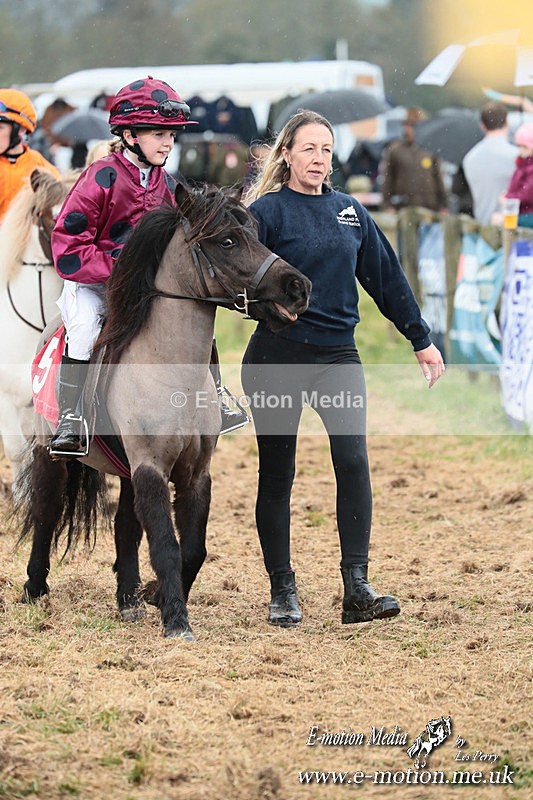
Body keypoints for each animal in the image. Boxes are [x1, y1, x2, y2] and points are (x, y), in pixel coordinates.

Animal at [15, 181, 311, 641]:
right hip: (52, 454)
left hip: (125, 470)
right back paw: (34, 588)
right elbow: (166, 546)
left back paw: (127, 600)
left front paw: (156, 596)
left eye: (254, 233)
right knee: (46, 511)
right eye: (227, 241)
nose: (298, 286)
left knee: (124, 525)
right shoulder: (150, 467)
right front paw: (176, 621)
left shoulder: (193, 473)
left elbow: (192, 548)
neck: (172, 374)